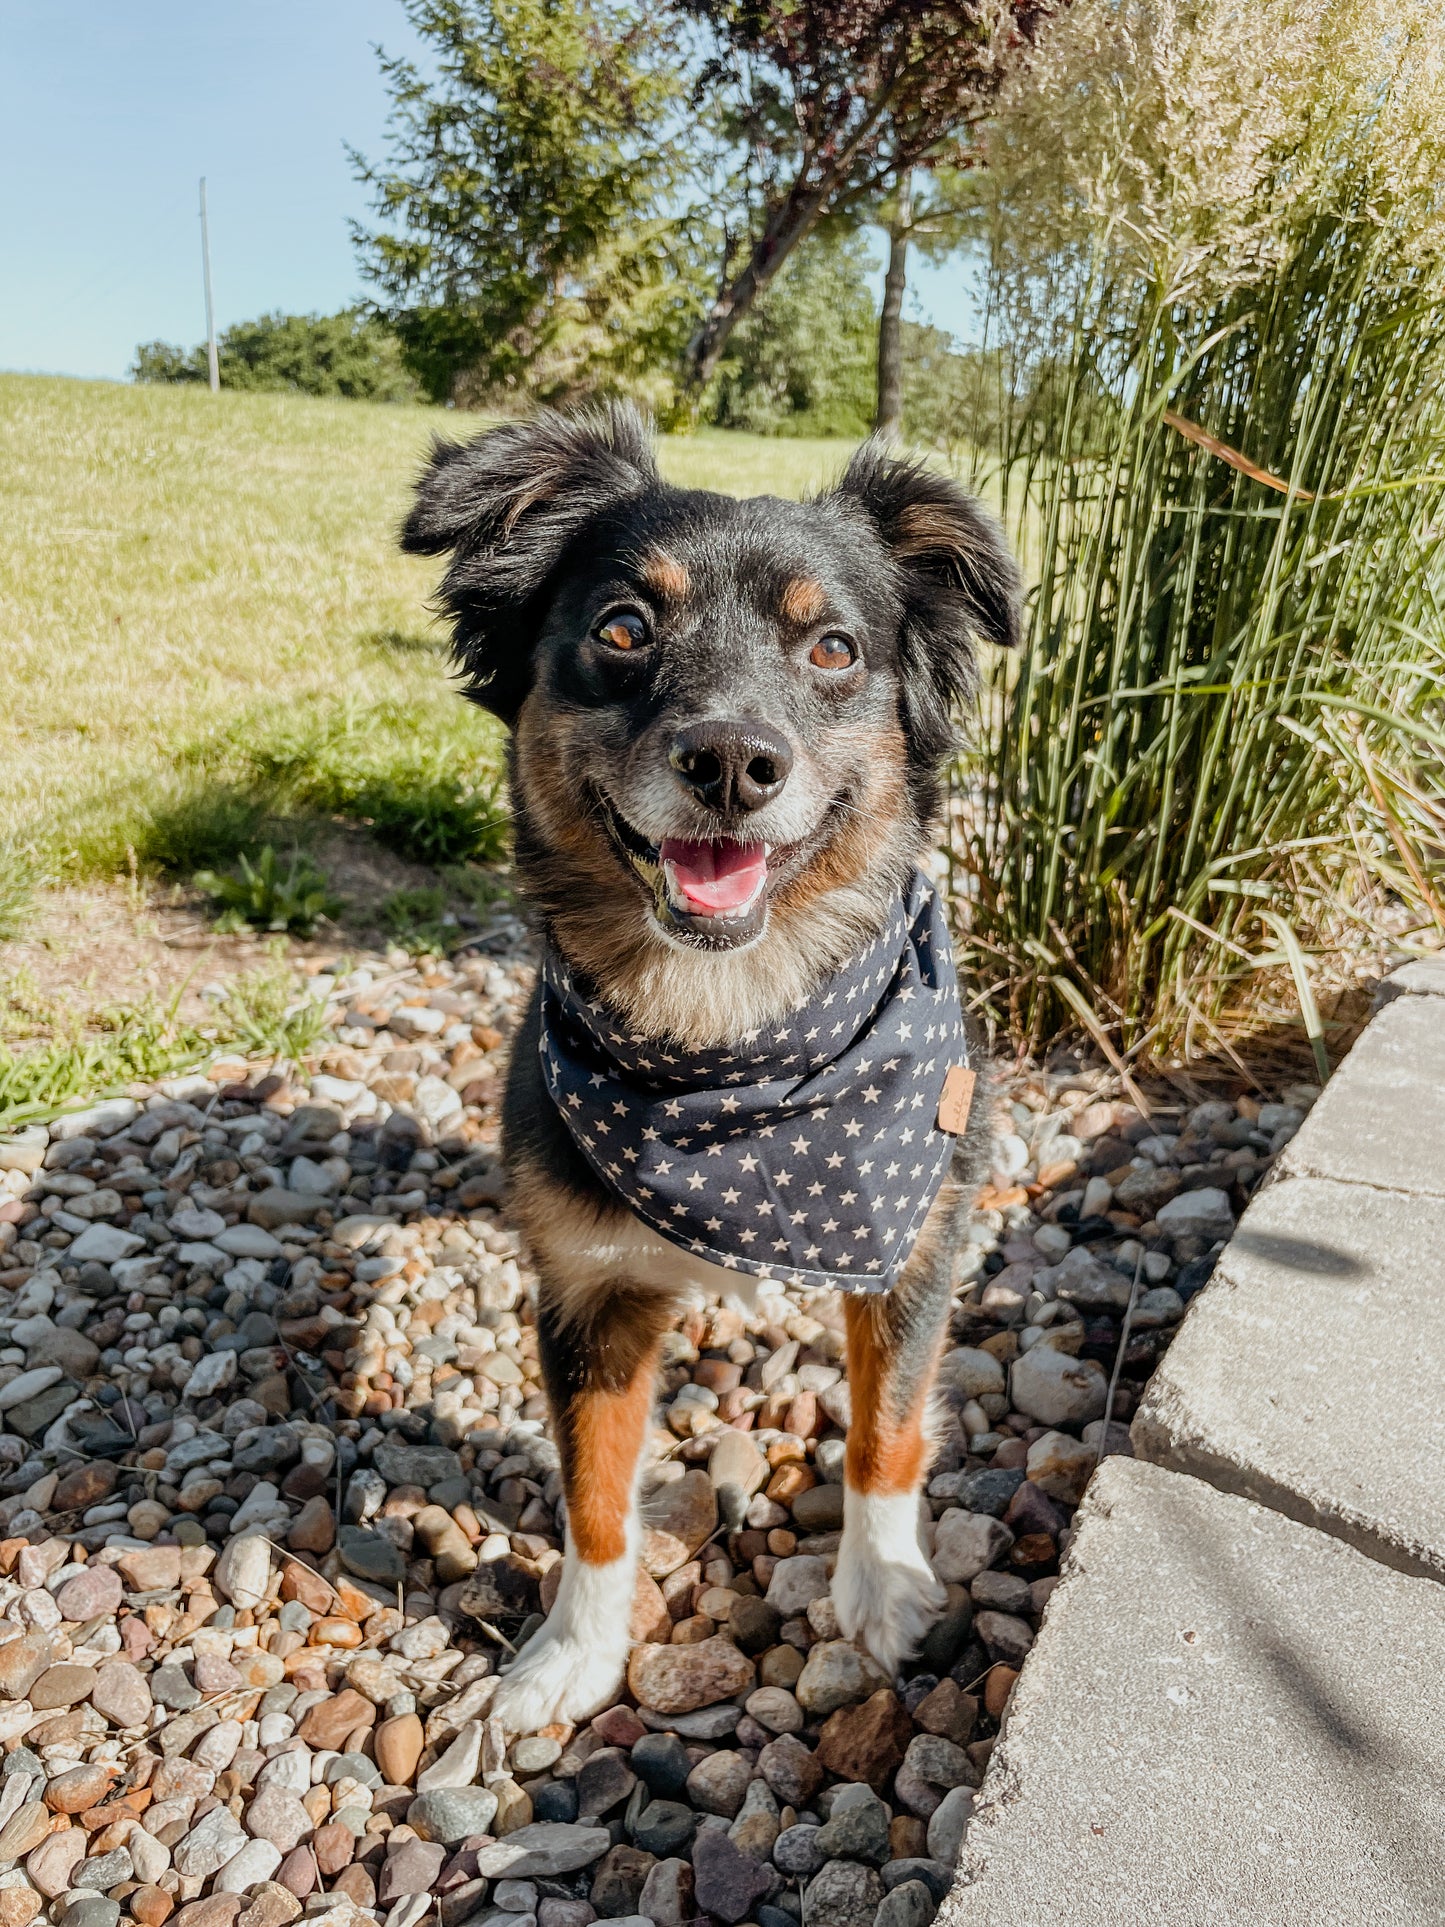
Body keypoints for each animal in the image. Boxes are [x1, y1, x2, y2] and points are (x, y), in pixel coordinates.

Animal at [402, 406, 1024, 1734]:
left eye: (833, 647)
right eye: (622, 629)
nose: (733, 761)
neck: (728, 1045)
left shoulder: (912, 1243)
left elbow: (886, 1429)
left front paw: (881, 1586)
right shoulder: (584, 1292)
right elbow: (591, 1490)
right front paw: (574, 1653)